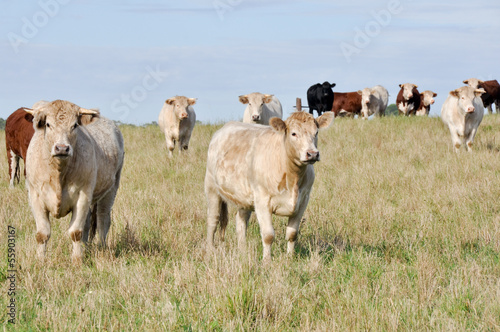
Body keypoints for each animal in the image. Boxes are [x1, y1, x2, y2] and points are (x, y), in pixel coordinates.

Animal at [24, 100, 124, 264]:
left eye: (75, 125)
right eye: (48, 124)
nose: (62, 148)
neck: (58, 172)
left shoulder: (83, 196)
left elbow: (75, 232)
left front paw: (77, 260)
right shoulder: (35, 196)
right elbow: (42, 233)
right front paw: (40, 261)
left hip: (111, 190)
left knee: (103, 220)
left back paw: (102, 249)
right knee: (88, 223)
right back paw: (86, 248)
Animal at [205, 111, 334, 262]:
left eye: (316, 132)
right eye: (294, 133)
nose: (312, 154)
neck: (293, 179)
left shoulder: (303, 200)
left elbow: (292, 234)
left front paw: (290, 258)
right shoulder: (262, 200)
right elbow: (268, 235)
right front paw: (267, 261)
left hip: (244, 196)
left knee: (241, 222)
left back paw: (242, 251)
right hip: (211, 188)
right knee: (213, 219)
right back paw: (210, 250)